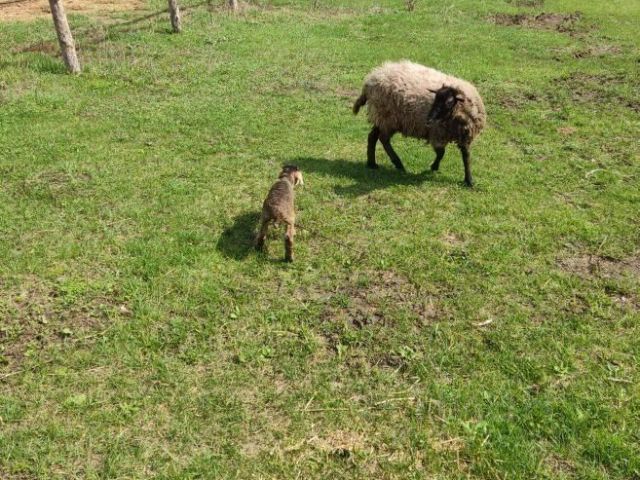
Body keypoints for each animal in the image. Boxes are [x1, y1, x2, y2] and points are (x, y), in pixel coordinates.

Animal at [356, 60, 484, 188]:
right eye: (435, 99)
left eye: (449, 102)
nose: (429, 119)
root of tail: (371, 78)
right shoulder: (437, 133)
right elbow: (441, 153)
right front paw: (434, 166)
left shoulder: (465, 135)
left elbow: (466, 156)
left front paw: (469, 180)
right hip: (388, 118)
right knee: (384, 139)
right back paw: (398, 164)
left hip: (383, 119)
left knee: (372, 136)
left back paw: (372, 164)